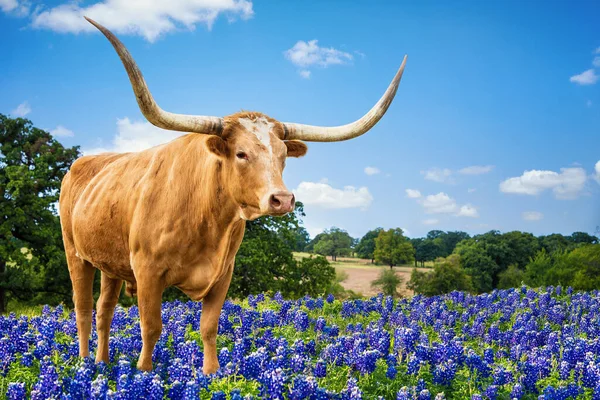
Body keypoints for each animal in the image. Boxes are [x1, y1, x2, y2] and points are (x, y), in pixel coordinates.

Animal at [59, 18, 408, 376]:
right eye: (241, 153)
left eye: (283, 155)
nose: (282, 199)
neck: (207, 219)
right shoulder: (147, 272)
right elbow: (151, 327)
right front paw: (144, 371)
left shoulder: (223, 274)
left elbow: (209, 327)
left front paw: (211, 375)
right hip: (75, 254)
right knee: (83, 309)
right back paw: (85, 362)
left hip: (110, 265)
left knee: (104, 310)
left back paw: (102, 363)